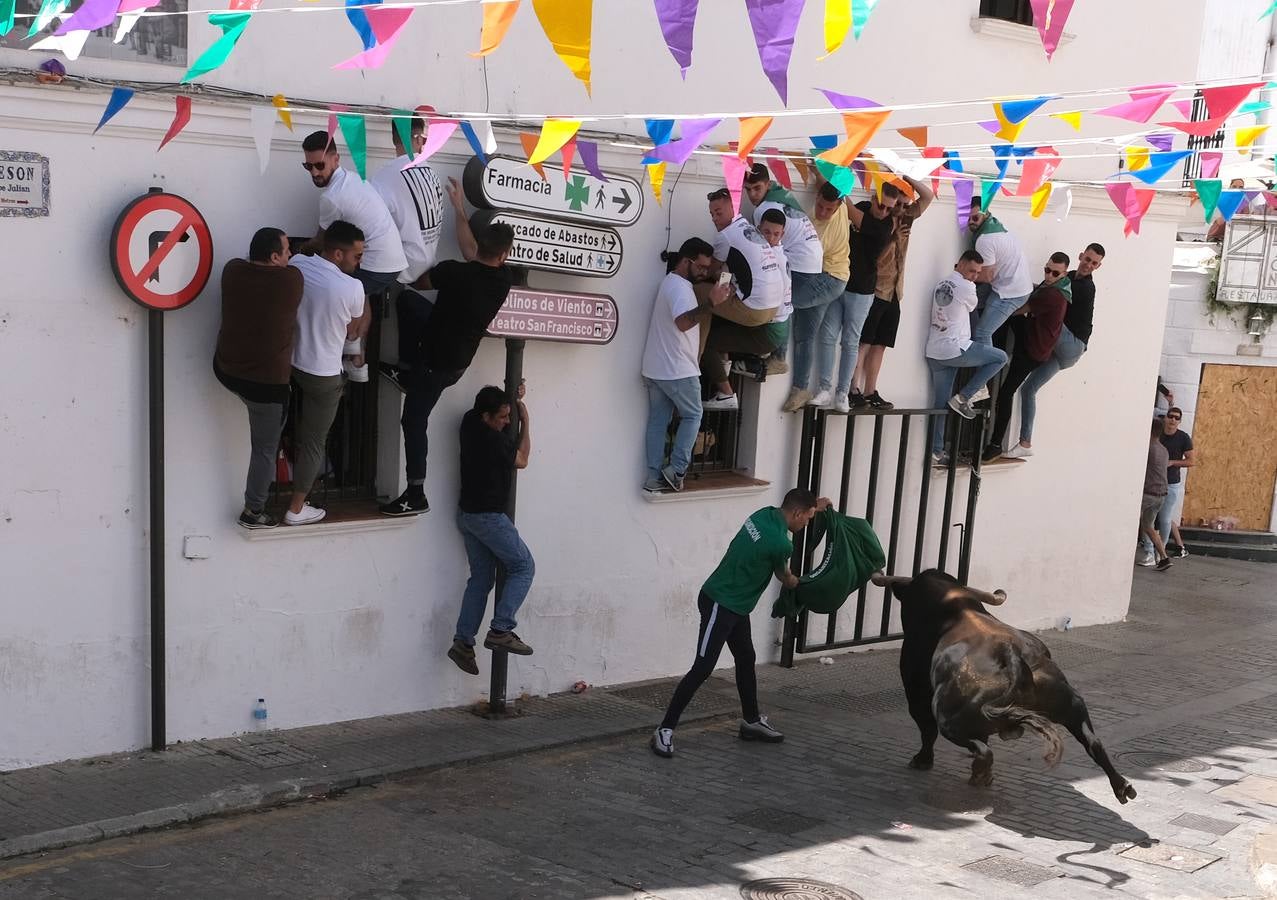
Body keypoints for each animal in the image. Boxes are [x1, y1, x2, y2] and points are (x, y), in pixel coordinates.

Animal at [868, 569, 1139, 801]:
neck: (953, 608)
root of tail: (1013, 656)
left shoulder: (915, 688)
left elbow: (926, 728)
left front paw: (923, 760)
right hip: (1070, 703)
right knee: (1093, 742)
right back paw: (1122, 785)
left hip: (948, 717)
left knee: (976, 747)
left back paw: (980, 774)